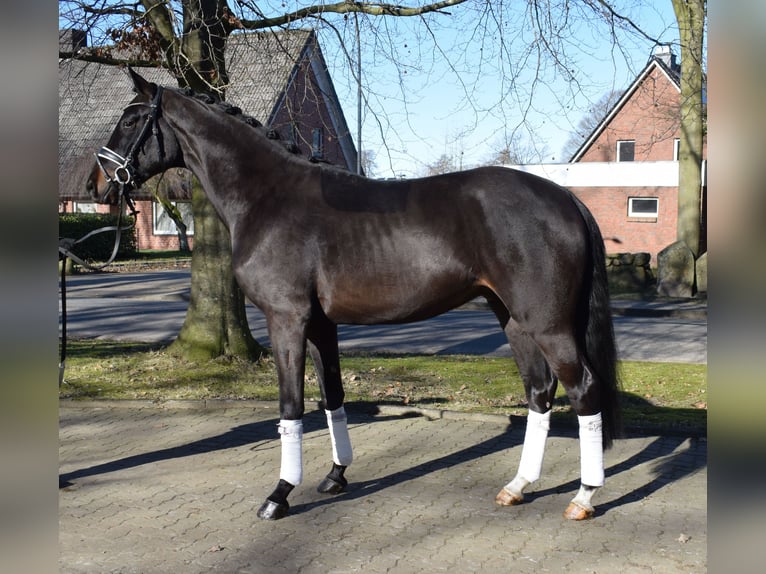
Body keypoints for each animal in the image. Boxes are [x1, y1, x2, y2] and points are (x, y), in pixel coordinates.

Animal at [87, 67, 620, 520]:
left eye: (131, 119)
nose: (97, 185)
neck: (268, 197)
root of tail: (566, 197)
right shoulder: (321, 324)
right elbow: (332, 396)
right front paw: (335, 477)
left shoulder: (287, 319)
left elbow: (290, 407)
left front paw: (280, 494)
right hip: (511, 317)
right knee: (540, 393)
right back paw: (518, 486)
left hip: (548, 323)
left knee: (583, 389)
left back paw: (583, 496)